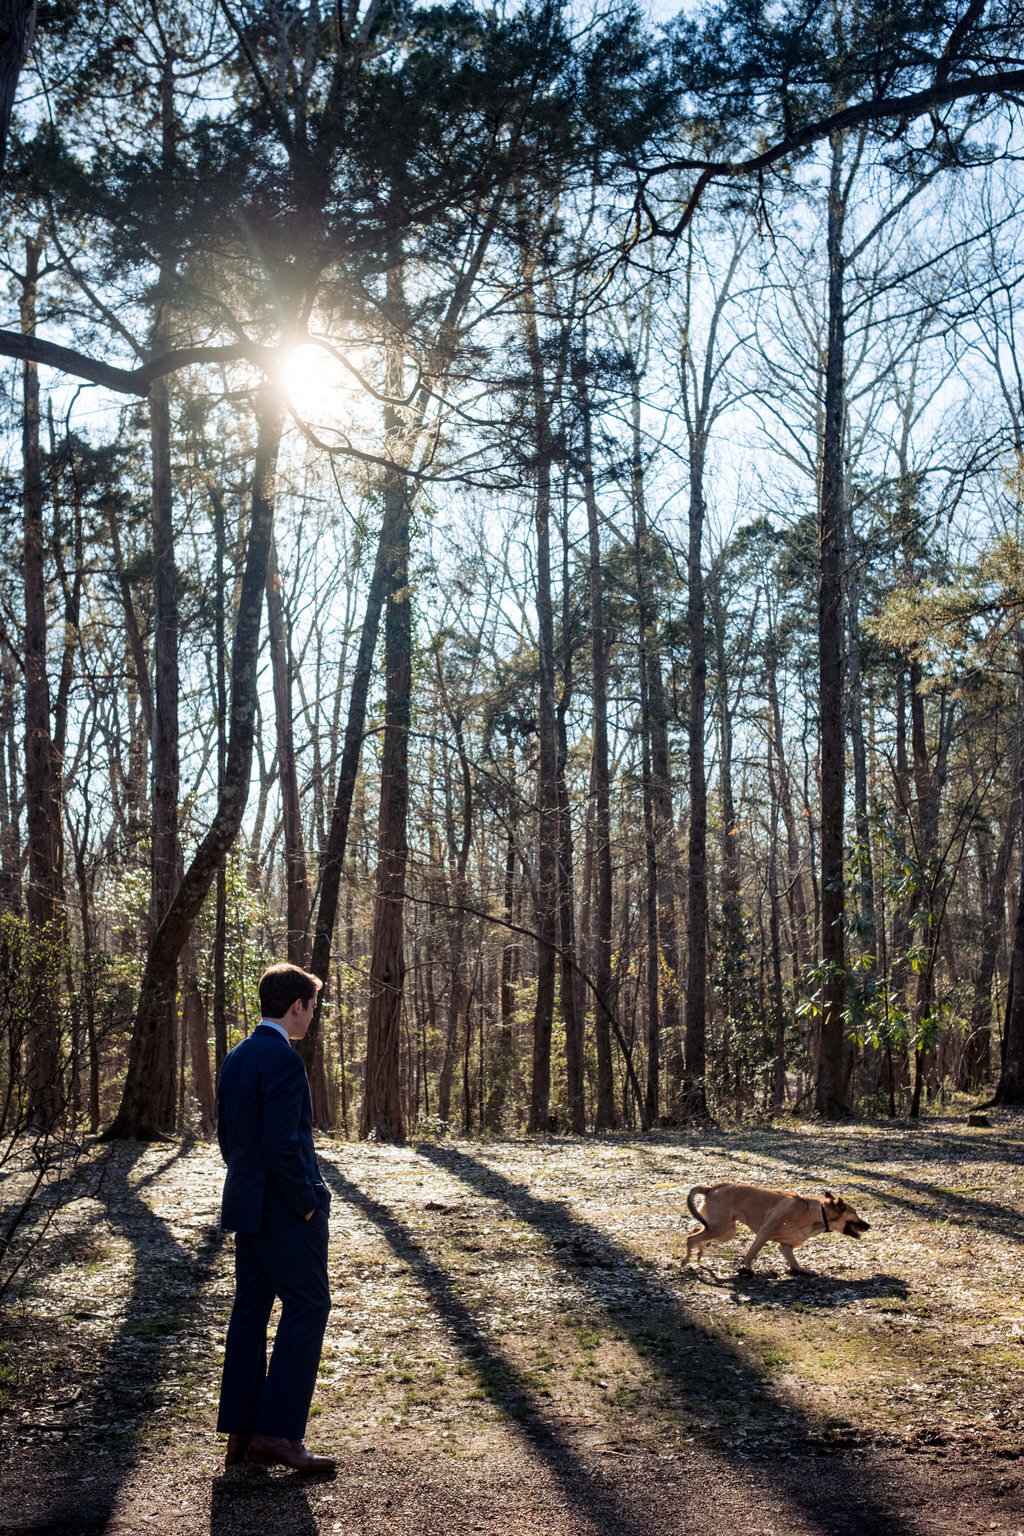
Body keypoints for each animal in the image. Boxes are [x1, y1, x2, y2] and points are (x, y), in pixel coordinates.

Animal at [684, 1185, 872, 1271]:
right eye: (855, 1213)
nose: (869, 1225)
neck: (818, 1214)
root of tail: (711, 1189)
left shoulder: (785, 1246)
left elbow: (794, 1262)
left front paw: (800, 1271)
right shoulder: (764, 1233)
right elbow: (751, 1254)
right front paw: (748, 1269)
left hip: (724, 1231)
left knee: (695, 1231)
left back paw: (698, 1253)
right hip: (721, 1229)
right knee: (690, 1237)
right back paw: (686, 1259)